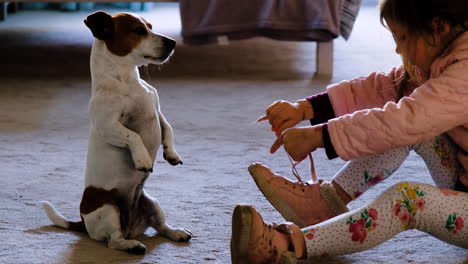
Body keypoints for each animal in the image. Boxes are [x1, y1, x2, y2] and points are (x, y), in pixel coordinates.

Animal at [41, 11, 191, 255]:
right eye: (138, 30)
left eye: (151, 26)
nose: (172, 42)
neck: (128, 81)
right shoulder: (108, 126)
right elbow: (133, 136)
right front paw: (142, 159)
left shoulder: (157, 112)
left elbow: (168, 129)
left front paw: (171, 154)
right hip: (109, 210)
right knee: (114, 240)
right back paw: (132, 246)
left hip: (153, 204)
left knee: (161, 227)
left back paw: (177, 232)